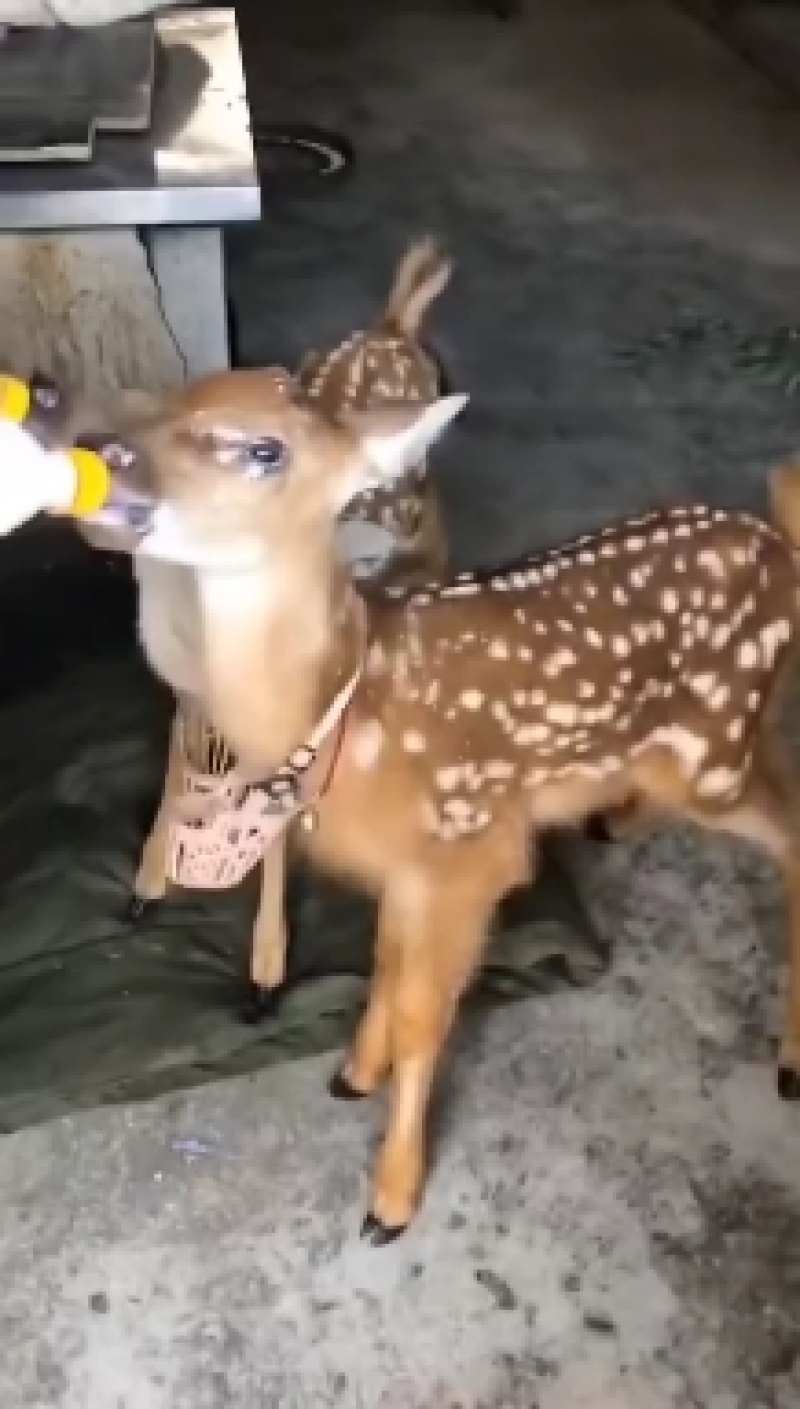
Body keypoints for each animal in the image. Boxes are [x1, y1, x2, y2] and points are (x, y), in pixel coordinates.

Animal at [79, 368, 800, 1242]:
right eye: (179, 399)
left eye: (265, 448)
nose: (99, 450)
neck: (355, 713)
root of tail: (782, 547)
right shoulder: (408, 866)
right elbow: (386, 960)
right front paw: (357, 1070)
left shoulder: (470, 851)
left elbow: (427, 1012)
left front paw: (391, 1198)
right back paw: (613, 814)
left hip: (715, 751)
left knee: (791, 831)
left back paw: (790, 1062)